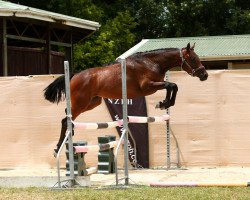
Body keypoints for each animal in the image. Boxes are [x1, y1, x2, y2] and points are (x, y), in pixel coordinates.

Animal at [44, 43, 208, 154]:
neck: (152, 63)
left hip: (92, 103)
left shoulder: (154, 86)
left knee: (68, 118)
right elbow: (172, 85)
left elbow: (172, 86)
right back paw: (60, 147)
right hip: (81, 103)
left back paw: (66, 143)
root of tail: (74, 76)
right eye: (194, 59)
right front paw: (164, 103)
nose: (204, 75)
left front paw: (164, 103)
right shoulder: (148, 86)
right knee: (65, 119)